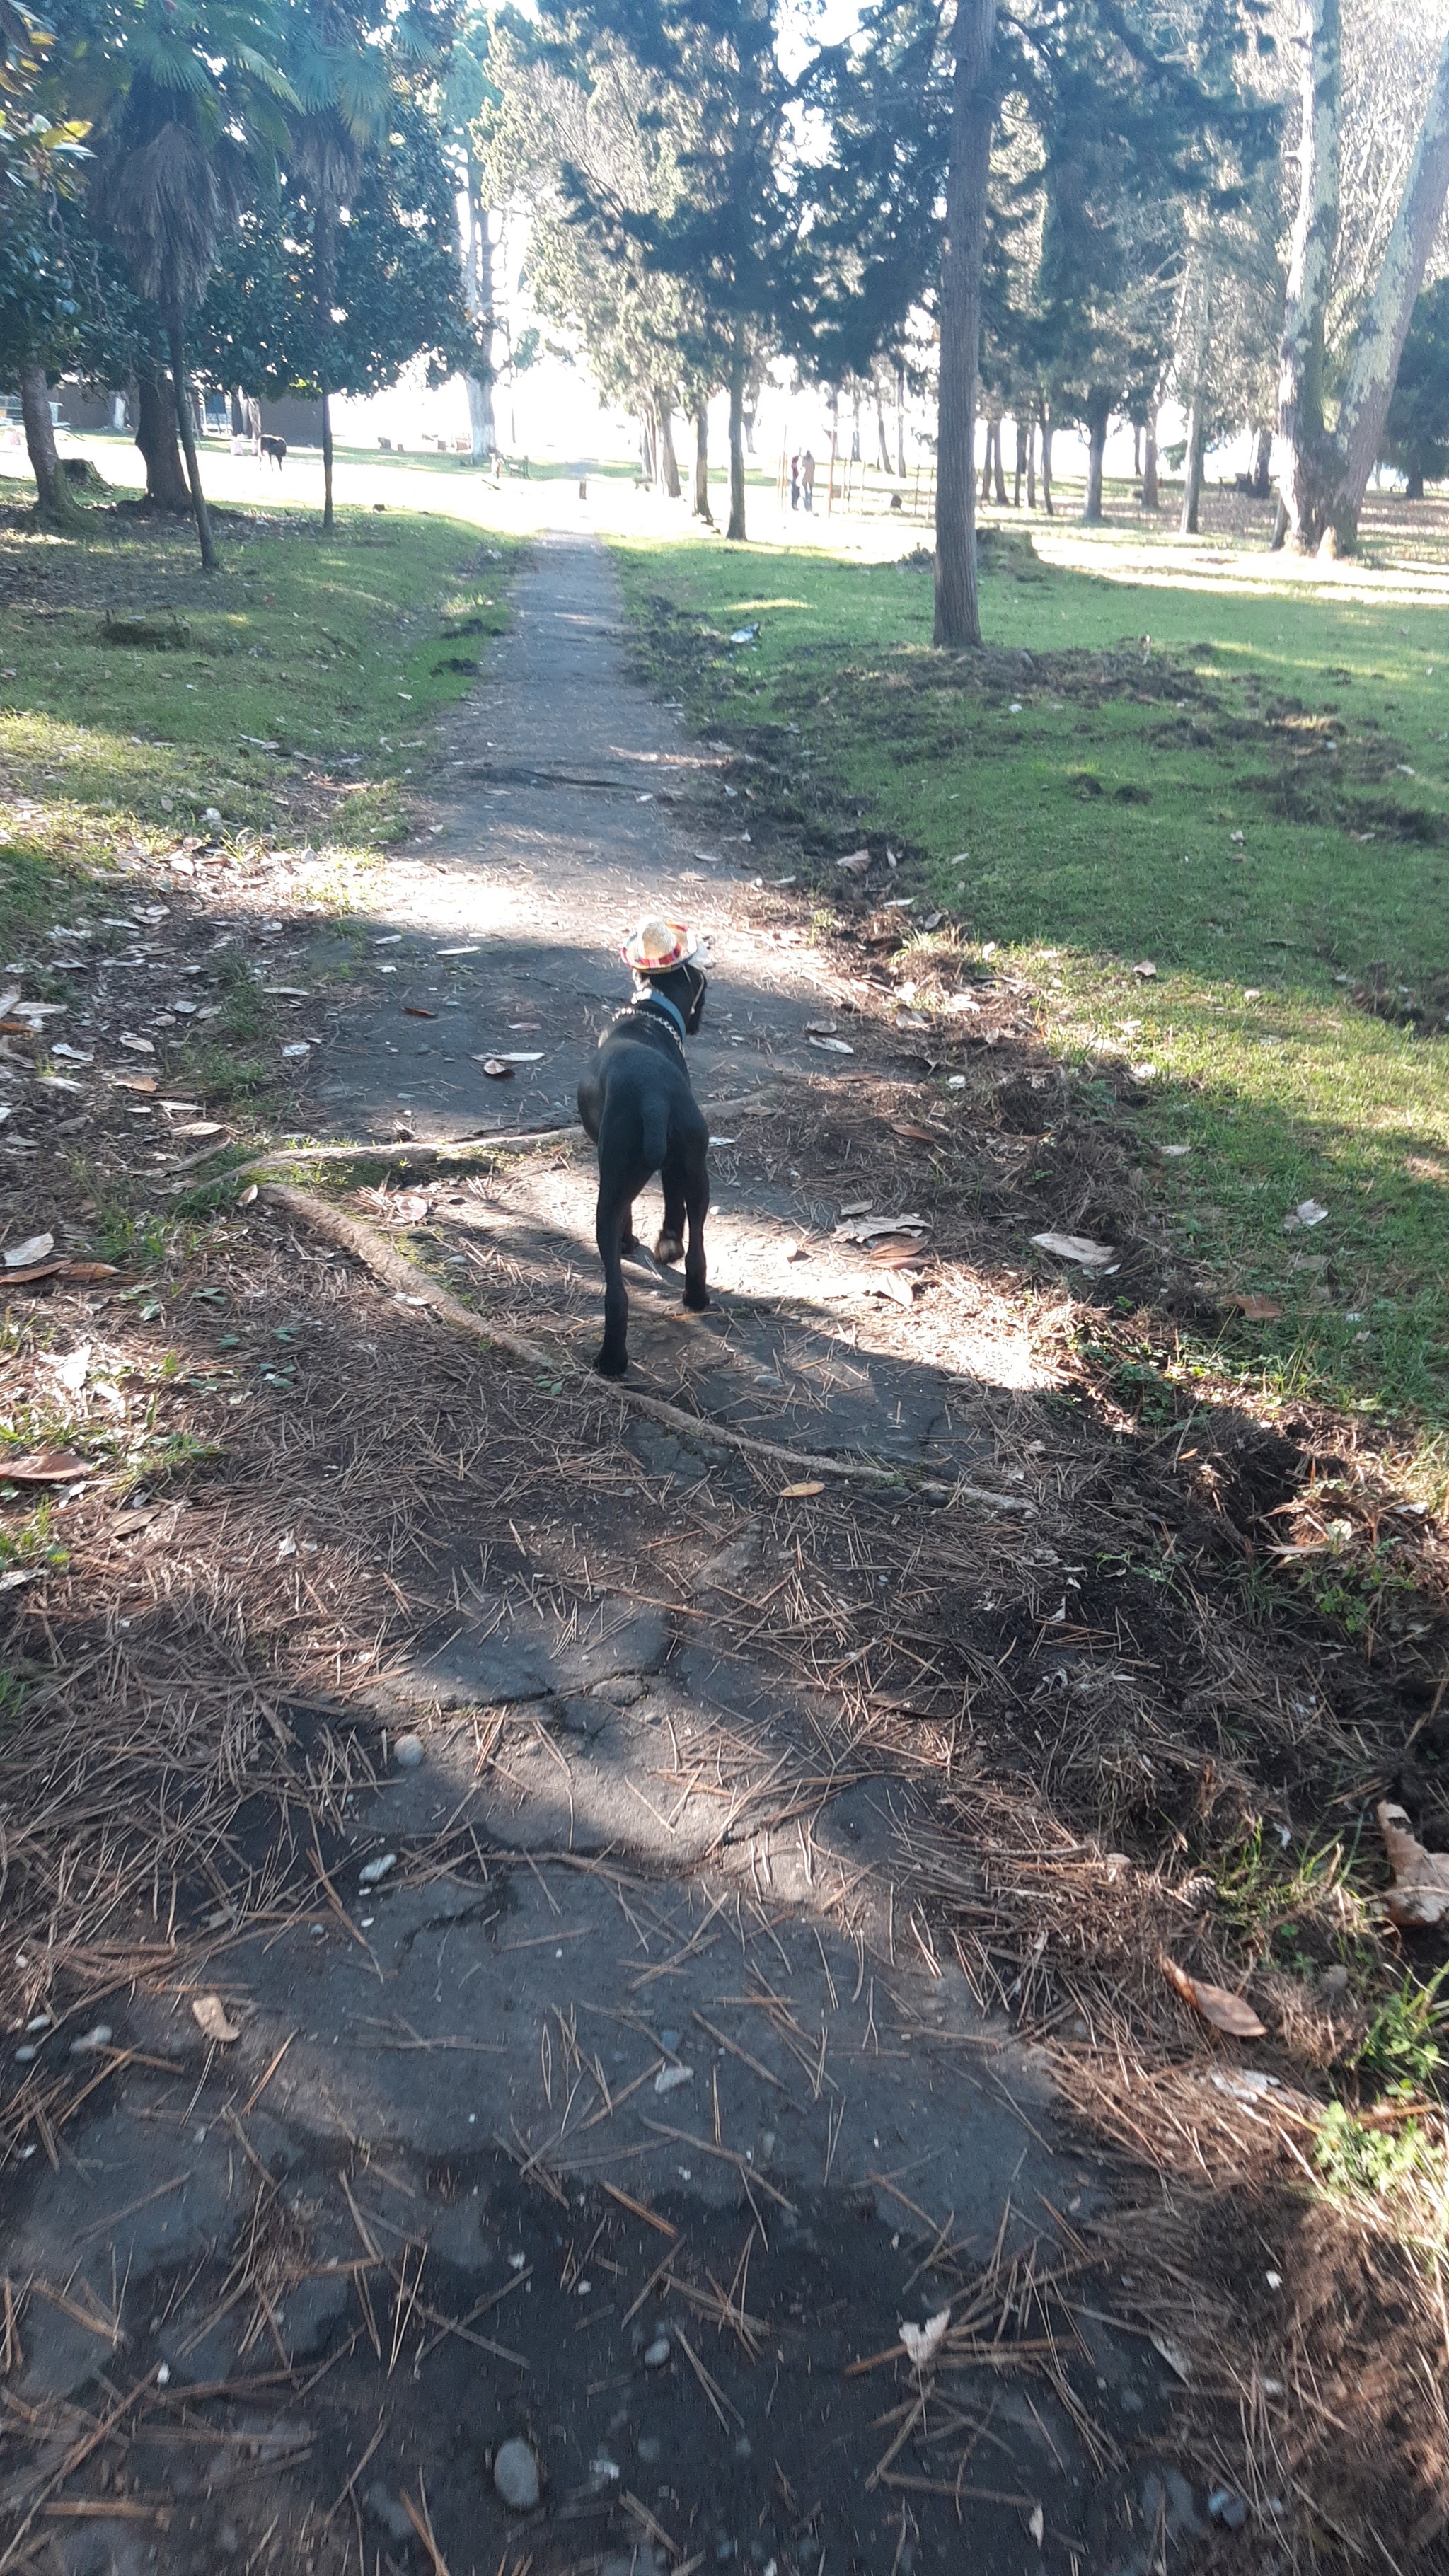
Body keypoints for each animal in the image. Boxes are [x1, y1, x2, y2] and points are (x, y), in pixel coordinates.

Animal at [577, 958, 706, 1380]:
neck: (649, 1014)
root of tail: (654, 1099)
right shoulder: (672, 1170)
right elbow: (673, 1209)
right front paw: (668, 1244)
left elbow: (632, 1214)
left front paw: (628, 1241)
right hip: (698, 1172)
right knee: (698, 1249)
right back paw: (696, 1297)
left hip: (610, 1193)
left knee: (616, 1295)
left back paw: (611, 1361)